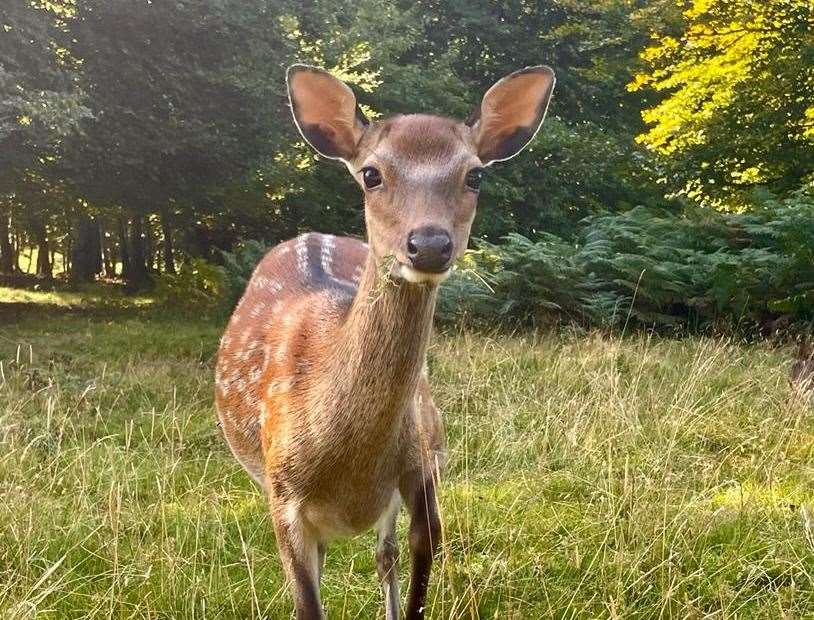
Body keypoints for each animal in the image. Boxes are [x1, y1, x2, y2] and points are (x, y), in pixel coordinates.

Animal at [214, 64, 556, 620]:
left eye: (475, 175)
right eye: (371, 174)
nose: (430, 244)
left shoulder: (422, 474)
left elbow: (412, 579)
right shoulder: (282, 494)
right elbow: (308, 601)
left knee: (384, 554)